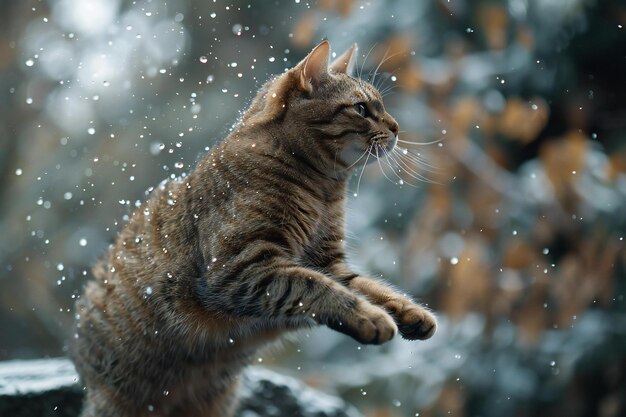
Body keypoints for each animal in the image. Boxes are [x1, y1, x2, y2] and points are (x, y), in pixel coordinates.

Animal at [69, 40, 434, 416]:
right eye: (361, 108)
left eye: (381, 106)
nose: (396, 127)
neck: (323, 191)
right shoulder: (242, 267)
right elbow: (318, 288)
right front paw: (370, 317)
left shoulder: (327, 262)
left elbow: (367, 286)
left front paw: (409, 312)